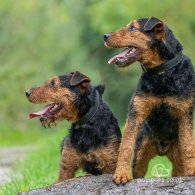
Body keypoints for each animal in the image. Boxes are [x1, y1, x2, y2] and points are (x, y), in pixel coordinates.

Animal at [104, 16, 195, 184]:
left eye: (132, 28)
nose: (105, 36)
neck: (161, 72)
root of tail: (162, 149)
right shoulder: (136, 112)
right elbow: (125, 146)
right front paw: (121, 174)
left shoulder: (185, 113)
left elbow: (188, 145)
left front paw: (192, 169)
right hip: (141, 154)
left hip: (177, 160)